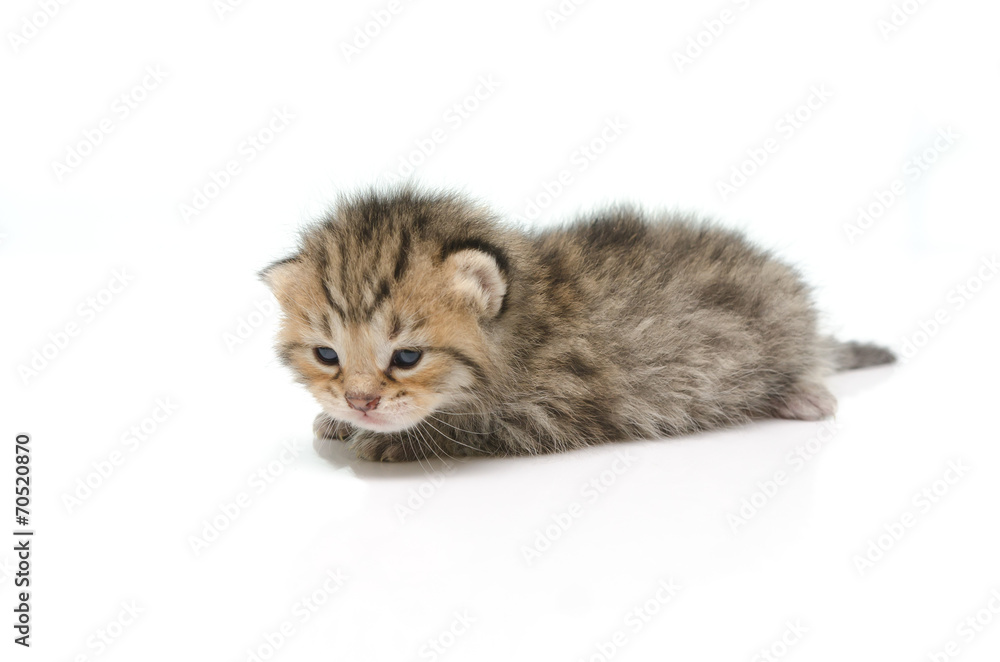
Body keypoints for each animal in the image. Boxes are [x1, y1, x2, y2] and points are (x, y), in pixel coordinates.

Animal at [262, 189, 896, 464]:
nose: (360, 402)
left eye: (407, 358)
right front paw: (339, 420)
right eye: (327, 355)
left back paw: (803, 391)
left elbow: (471, 429)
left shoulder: (556, 410)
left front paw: (402, 441)